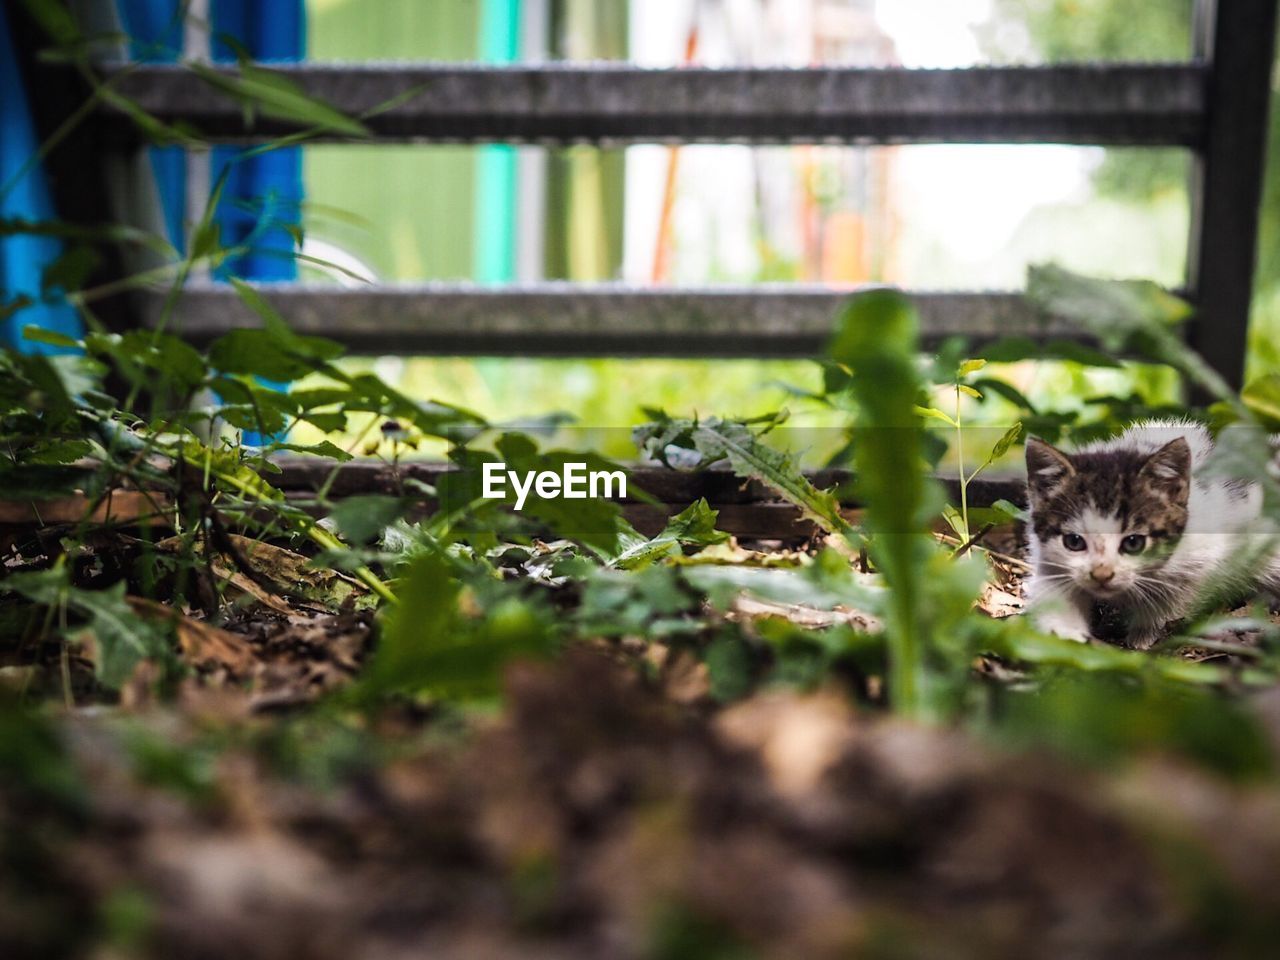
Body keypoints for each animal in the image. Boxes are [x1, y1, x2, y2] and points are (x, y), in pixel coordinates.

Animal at [1018, 422, 1269, 655]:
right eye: (1074, 542)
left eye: (1133, 542)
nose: (1102, 575)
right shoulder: (1048, 559)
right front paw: (1063, 635)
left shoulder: (1201, 556)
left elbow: (1176, 601)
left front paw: (1145, 636)